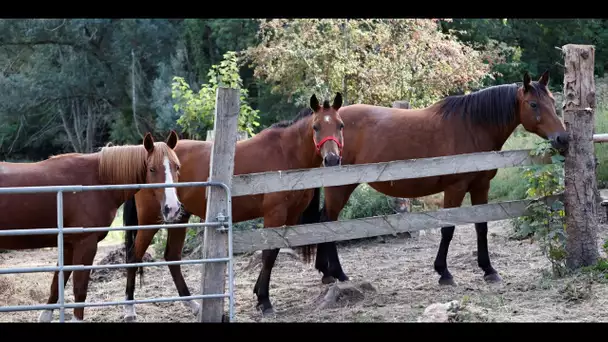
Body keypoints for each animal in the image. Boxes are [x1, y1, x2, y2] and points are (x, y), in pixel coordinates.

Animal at [0, 130, 180, 320]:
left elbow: (57, 284)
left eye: (177, 167)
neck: (97, 179)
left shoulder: (68, 245)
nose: (172, 208)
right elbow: (80, 290)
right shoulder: (85, 244)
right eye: (152, 169)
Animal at [121, 91, 344, 320]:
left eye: (340, 125)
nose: (332, 159)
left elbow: (273, 253)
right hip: (150, 220)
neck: (286, 154)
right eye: (316, 127)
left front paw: (259, 295)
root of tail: (147, 156)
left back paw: (193, 305)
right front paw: (264, 300)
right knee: (133, 256)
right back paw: (130, 309)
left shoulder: (289, 217)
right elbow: (268, 255)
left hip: (179, 216)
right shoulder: (274, 215)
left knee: (172, 257)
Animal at [308, 71, 568, 290]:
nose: (562, 138)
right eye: (533, 104)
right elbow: (448, 228)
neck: (472, 126)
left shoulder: (481, 186)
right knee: (328, 222)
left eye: (552, 102)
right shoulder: (455, 188)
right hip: (340, 187)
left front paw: (488, 269)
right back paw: (338, 274)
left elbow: (481, 226)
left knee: (323, 221)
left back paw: (327, 273)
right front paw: (444, 273)